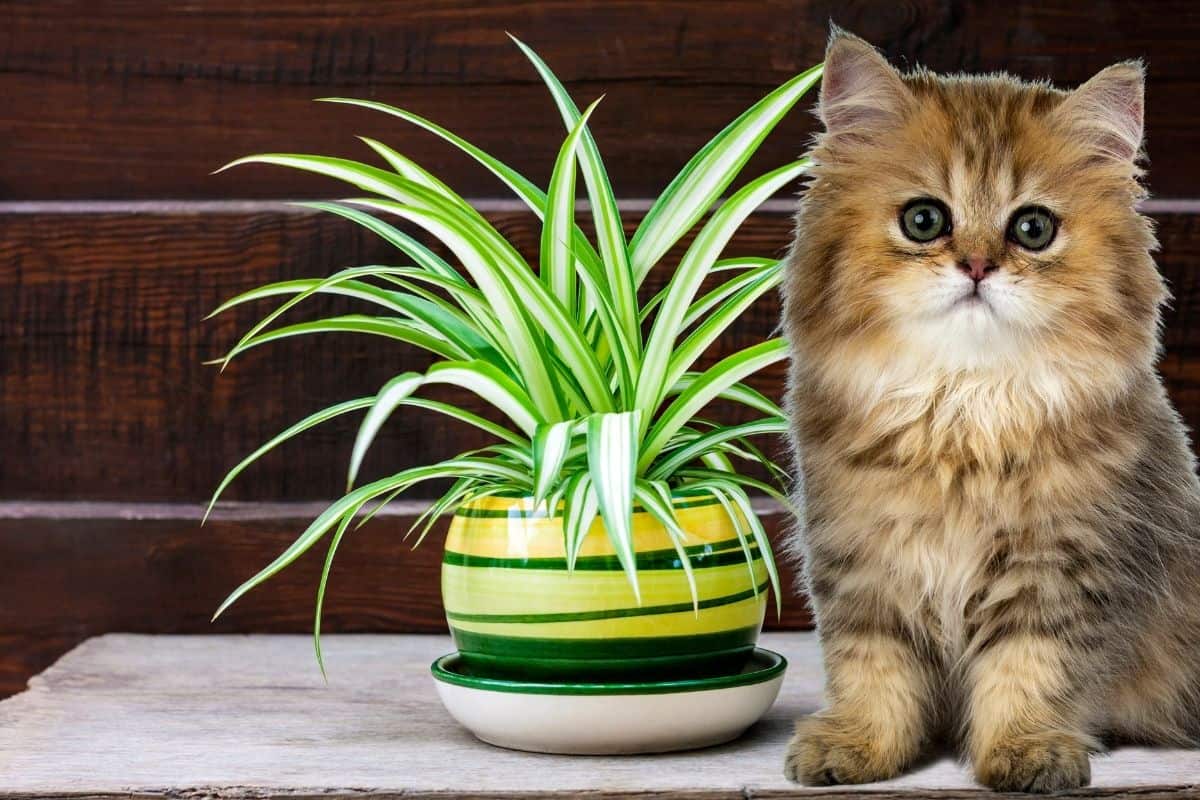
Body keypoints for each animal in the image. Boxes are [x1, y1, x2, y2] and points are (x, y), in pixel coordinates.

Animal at [777, 26, 1200, 796]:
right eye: (924, 220)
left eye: (1032, 229)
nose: (976, 266)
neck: (962, 411)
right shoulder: (863, 564)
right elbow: (872, 672)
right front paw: (857, 747)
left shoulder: (1059, 571)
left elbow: (1029, 674)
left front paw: (1025, 753)